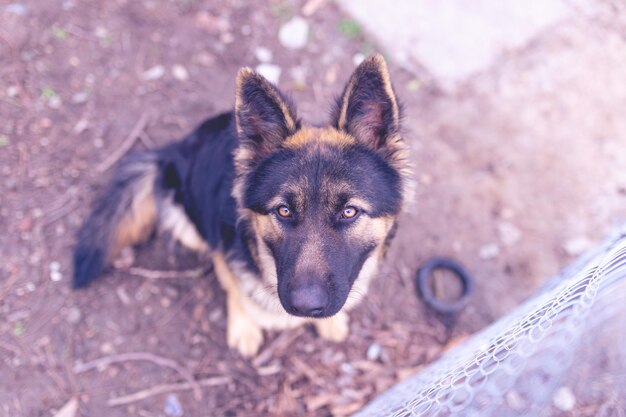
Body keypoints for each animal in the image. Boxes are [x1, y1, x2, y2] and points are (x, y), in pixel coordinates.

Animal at [73, 54, 412, 354]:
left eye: (349, 211)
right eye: (283, 210)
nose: (305, 307)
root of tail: (170, 152)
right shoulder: (224, 251)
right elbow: (234, 289)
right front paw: (244, 327)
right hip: (187, 224)